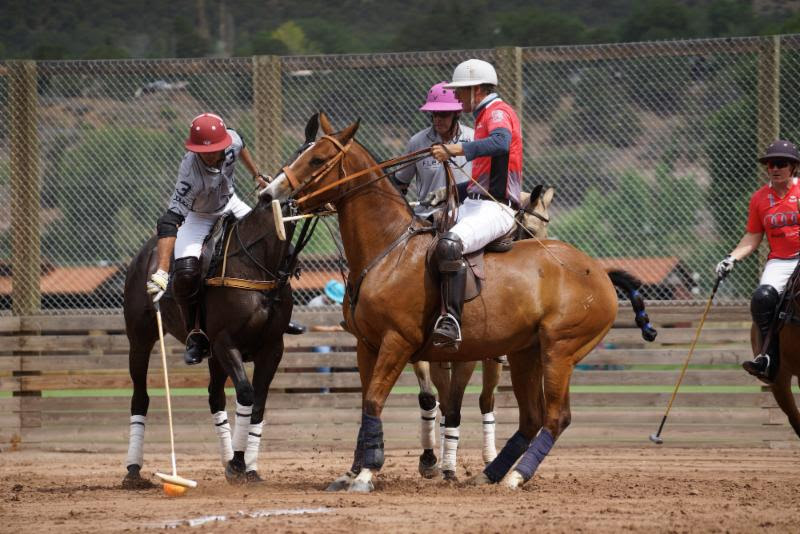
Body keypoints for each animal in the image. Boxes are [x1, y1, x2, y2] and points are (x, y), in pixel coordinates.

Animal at [262, 113, 656, 494]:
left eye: (318, 159)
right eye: (300, 150)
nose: (269, 194)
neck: (388, 249)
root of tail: (601, 272)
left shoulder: (397, 341)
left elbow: (375, 400)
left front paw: (366, 475)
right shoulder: (367, 344)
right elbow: (366, 404)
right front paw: (352, 472)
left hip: (560, 350)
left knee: (556, 416)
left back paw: (516, 477)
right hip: (526, 352)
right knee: (531, 417)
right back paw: (489, 475)